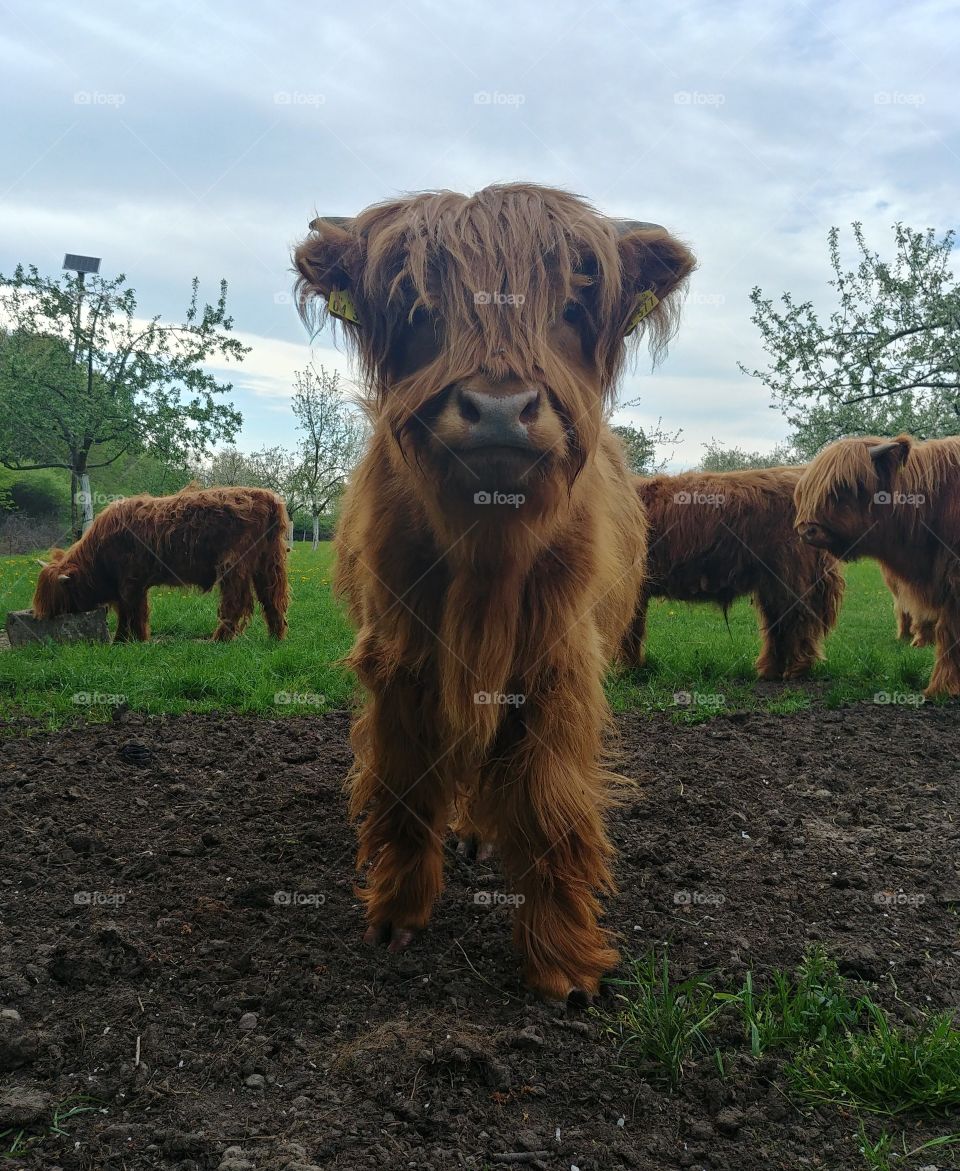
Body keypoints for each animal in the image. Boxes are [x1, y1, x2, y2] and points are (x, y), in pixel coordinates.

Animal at [33, 485, 290, 642]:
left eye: (54, 595)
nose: (42, 617)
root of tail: (268, 497)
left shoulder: (130, 582)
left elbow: (131, 612)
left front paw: (129, 640)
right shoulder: (129, 585)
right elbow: (130, 611)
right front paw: (129, 640)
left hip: (233, 565)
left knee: (235, 602)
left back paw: (217, 640)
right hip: (268, 563)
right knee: (272, 598)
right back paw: (275, 638)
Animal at [294, 183, 695, 1002]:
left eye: (570, 303)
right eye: (418, 305)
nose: (501, 407)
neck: (488, 553)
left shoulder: (555, 665)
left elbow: (549, 804)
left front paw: (563, 964)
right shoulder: (400, 656)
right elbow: (406, 786)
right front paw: (397, 915)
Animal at [622, 467, 845, 680]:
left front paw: (625, 670)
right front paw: (630, 668)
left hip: (790, 575)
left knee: (796, 620)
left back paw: (794, 670)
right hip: (772, 582)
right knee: (777, 622)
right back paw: (770, 671)